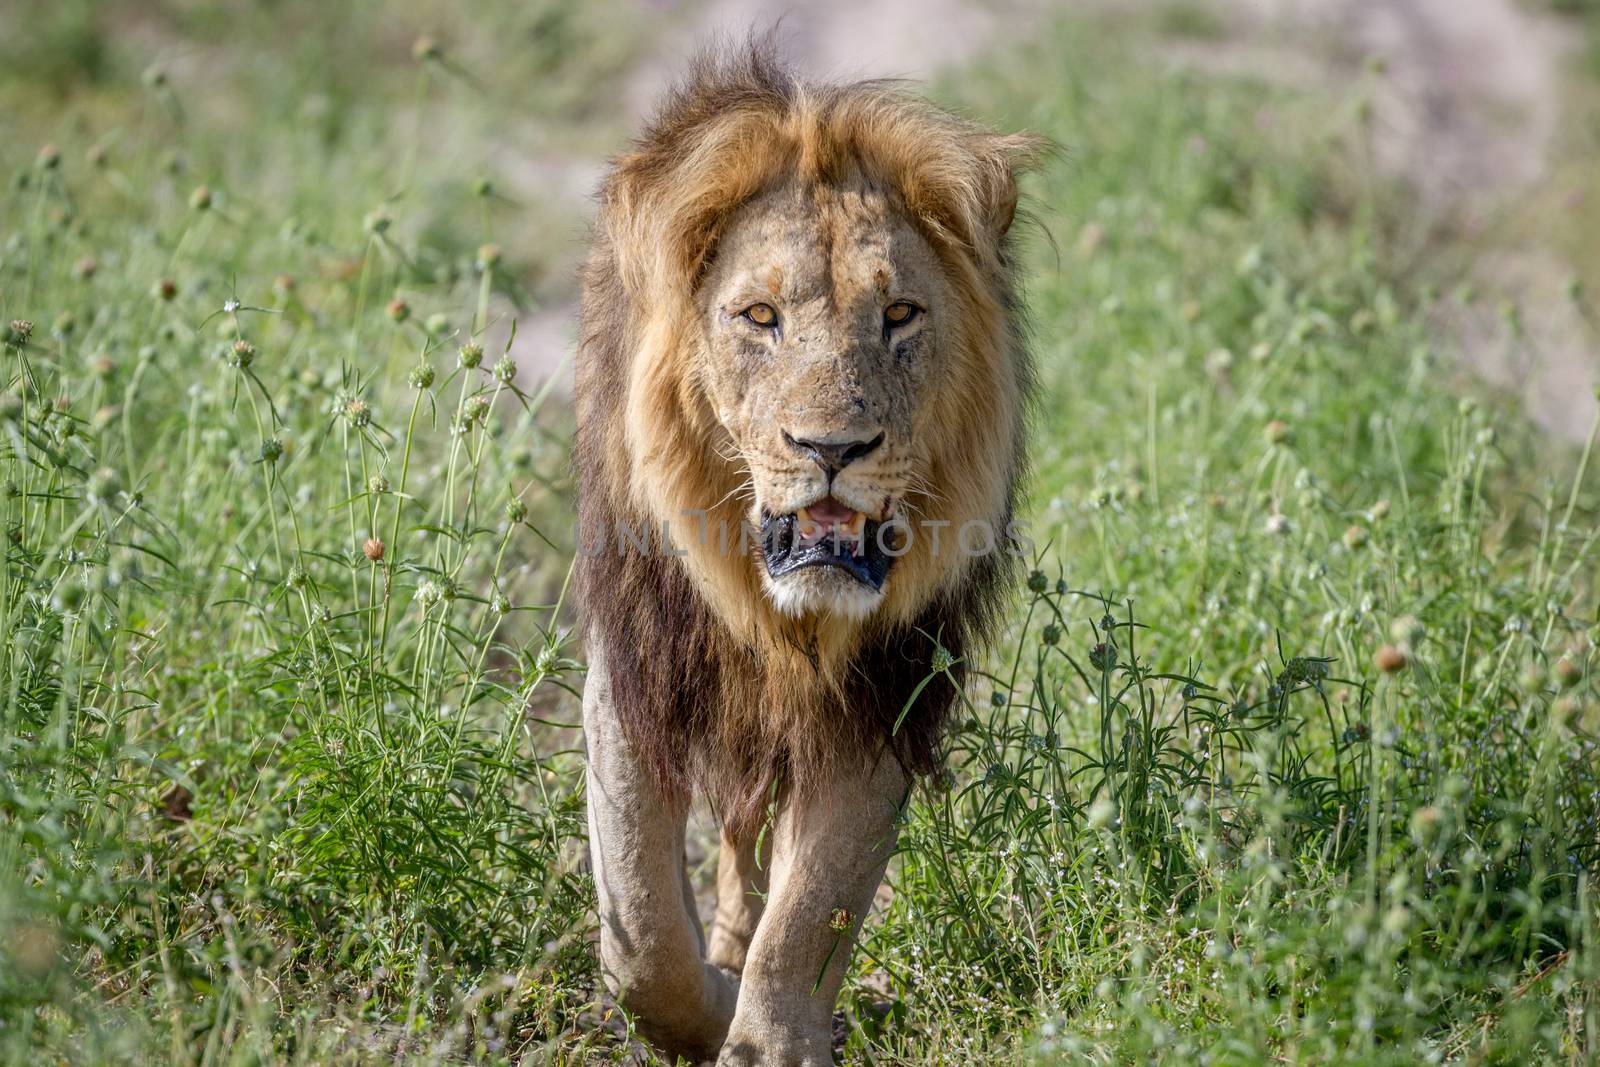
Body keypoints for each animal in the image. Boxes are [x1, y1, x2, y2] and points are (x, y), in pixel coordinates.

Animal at [576, 43, 1036, 1067]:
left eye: (899, 313)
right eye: (759, 316)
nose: (833, 448)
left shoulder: (882, 693)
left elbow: (812, 905)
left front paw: (769, 1038)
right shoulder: (635, 661)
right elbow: (642, 927)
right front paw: (705, 1003)